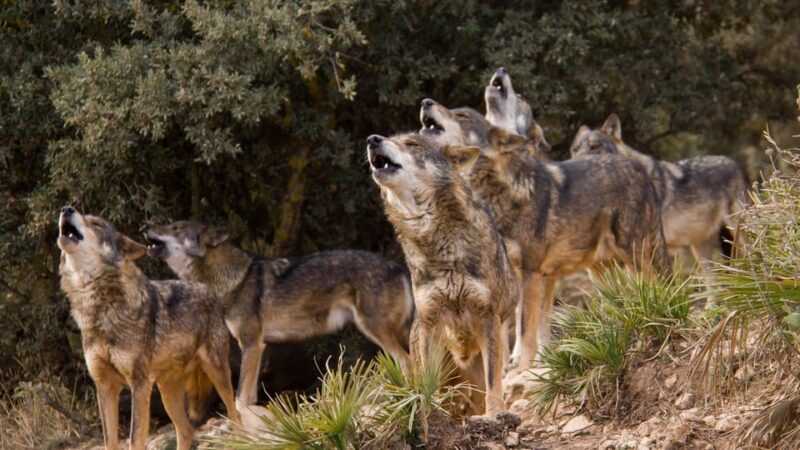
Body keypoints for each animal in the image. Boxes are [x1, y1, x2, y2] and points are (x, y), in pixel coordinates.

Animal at [57, 207, 240, 450]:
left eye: (96, 224)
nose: (66, 209)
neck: (100, 310)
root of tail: (206, 288)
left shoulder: (139, 384)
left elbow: (135, 438)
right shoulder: (105, 387)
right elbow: (110, 442)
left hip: (217, 372)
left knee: (235, 414)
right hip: (167, 392)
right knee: (186, 430)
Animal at [141, 221, 414, 405]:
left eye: (175, 227)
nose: (144, 227)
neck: (232, 280)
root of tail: (399, 267)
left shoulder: (251, 344)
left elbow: (239, 398)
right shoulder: (258, 347)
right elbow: (249, 398)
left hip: (375, 330)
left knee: (408, 361)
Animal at [367, 132, 519, 416]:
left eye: (411, 143)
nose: (372, 139)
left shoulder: (488, 317)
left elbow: (494, 382)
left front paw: (495, 415)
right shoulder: (431, 321)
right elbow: (428, 383)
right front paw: (427, 412)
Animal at [419, 100, 669, 370]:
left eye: (462, 115)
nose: (425, 102)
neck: (498, 196)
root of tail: (639, 169)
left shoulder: (531, 273)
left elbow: (525, 328)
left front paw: (523, 365)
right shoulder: (519, 276)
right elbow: (520, 327)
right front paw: (516, 363)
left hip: (633, 256)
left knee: (651, 283)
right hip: (600, 271)